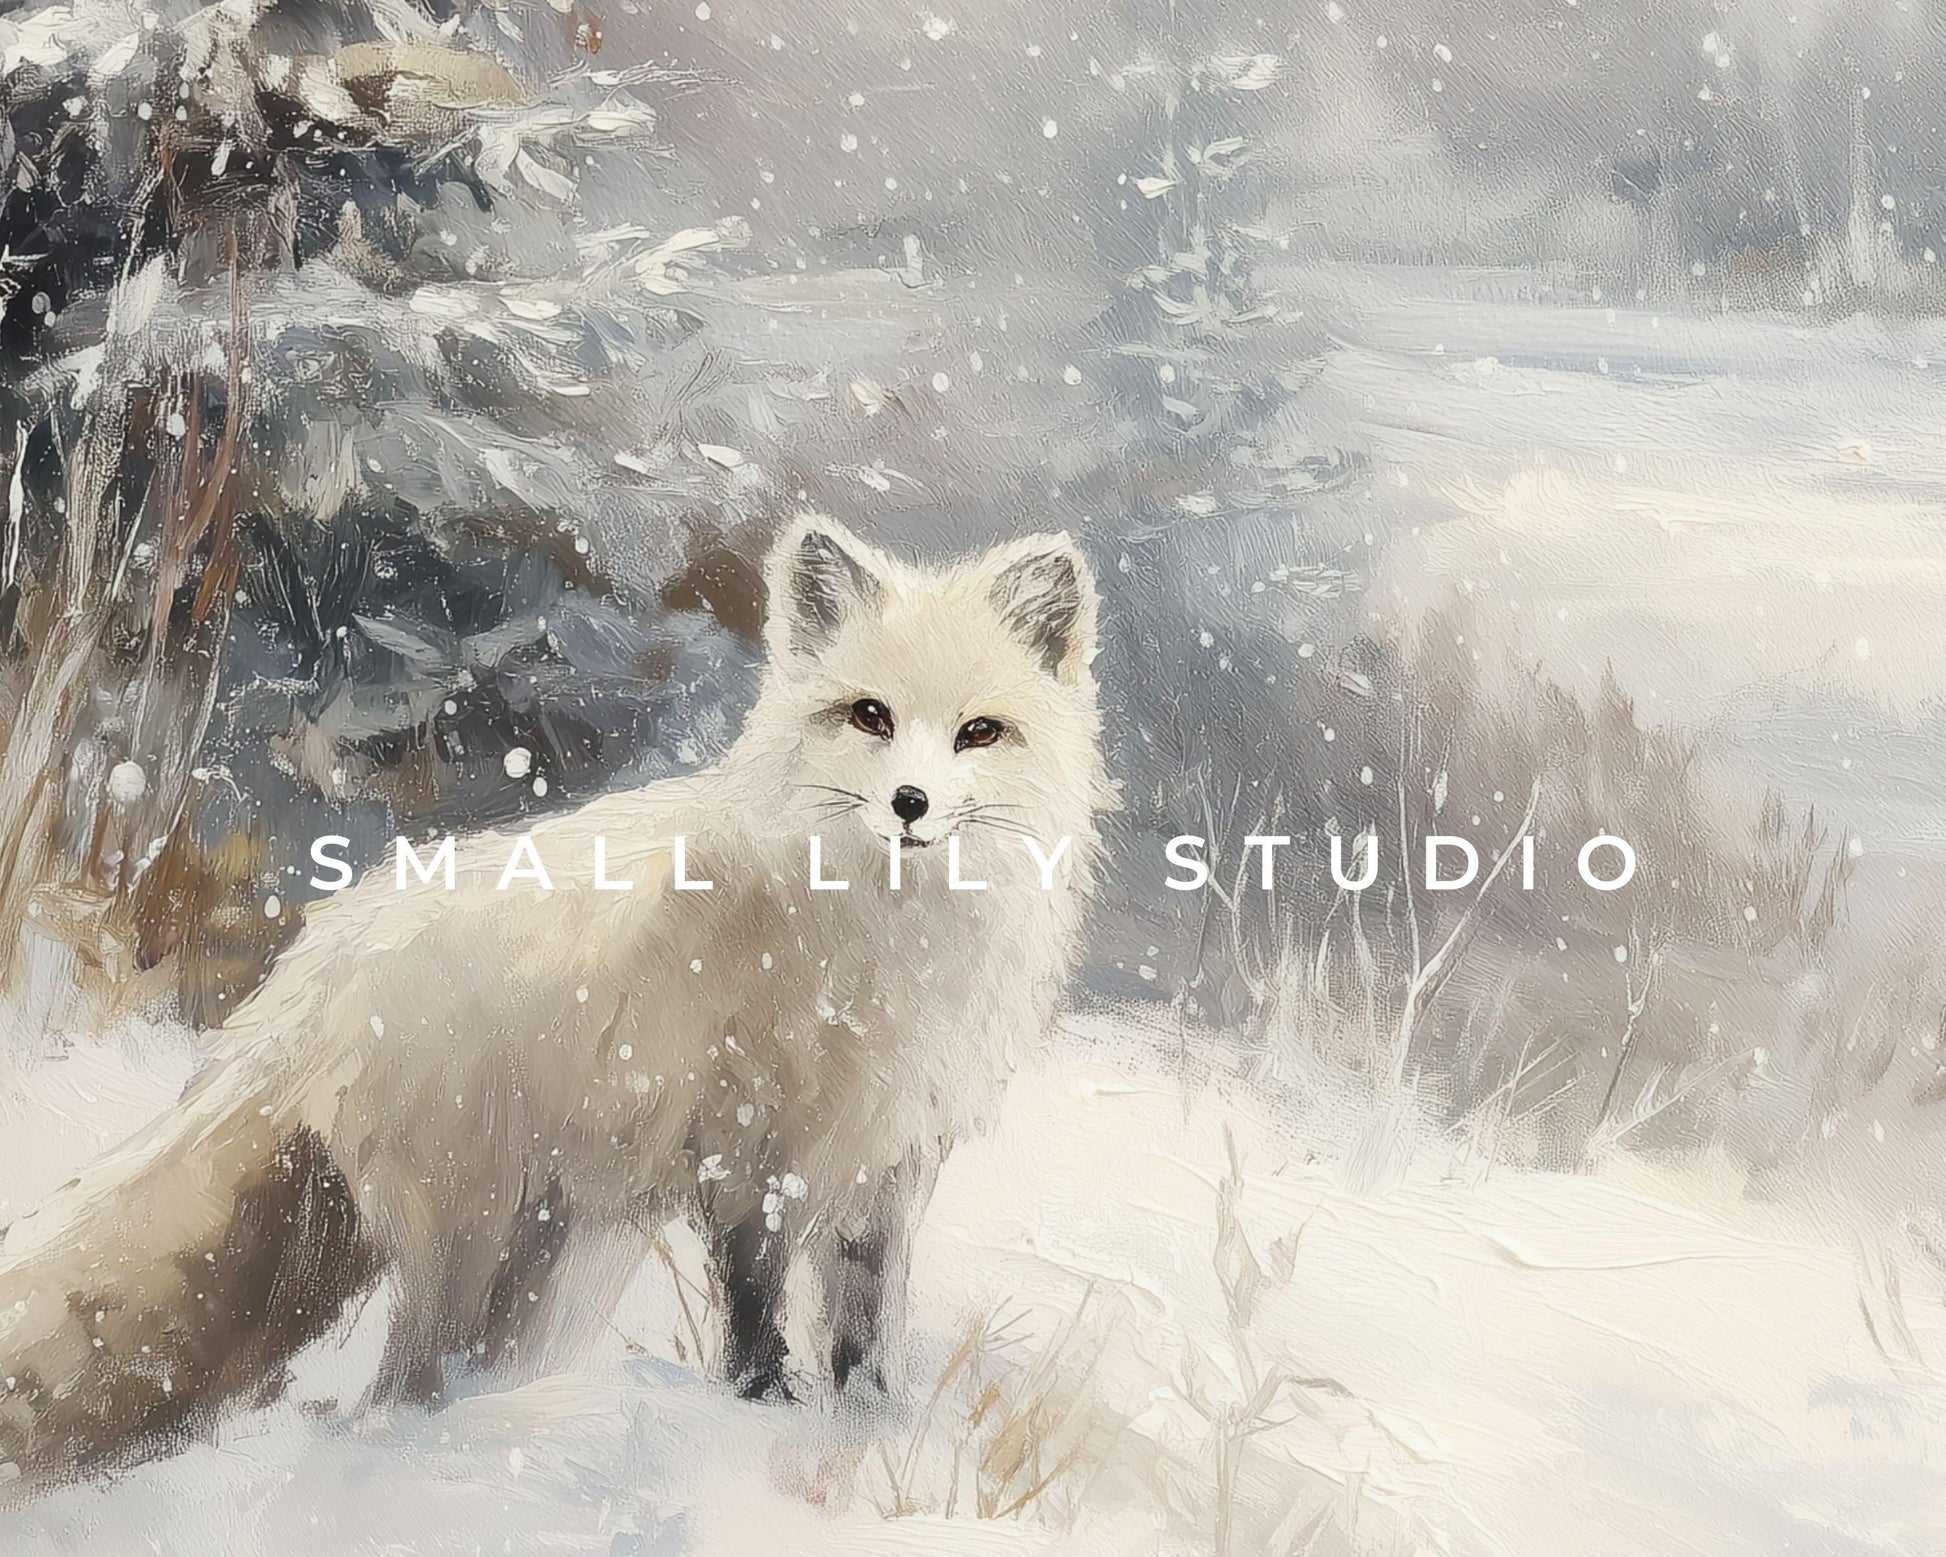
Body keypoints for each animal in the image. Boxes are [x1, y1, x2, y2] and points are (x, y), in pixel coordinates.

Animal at [0, 518, 1108, 1492]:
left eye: (978, 732)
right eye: (869, 714)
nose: (910, 804)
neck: (882, 938)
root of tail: (307, 967)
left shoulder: (884, 1157)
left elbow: (865, 1329)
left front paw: (871, 1427)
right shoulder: (746, 1151)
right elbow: (756, 1315)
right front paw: (761, 1415)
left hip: (539, 1266)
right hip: (467, 1243)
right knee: (395, 1391)